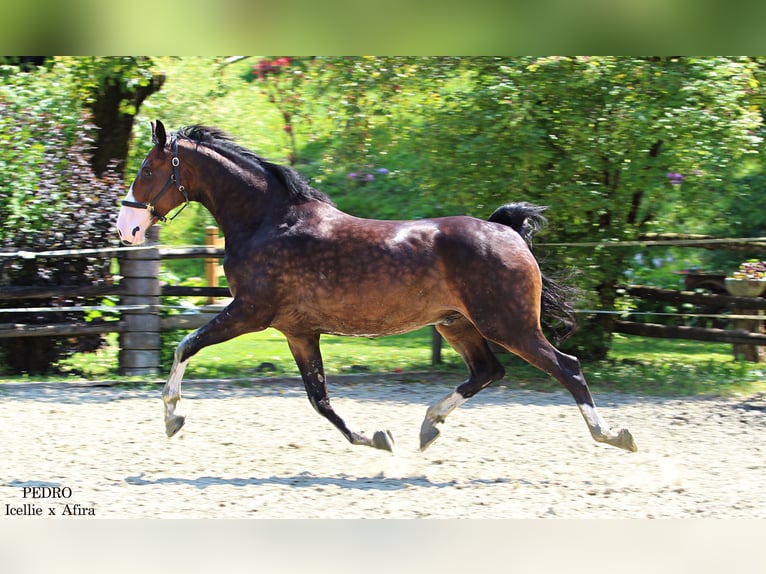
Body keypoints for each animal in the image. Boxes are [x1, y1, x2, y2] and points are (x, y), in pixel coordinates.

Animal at [117, 121, 640, 454]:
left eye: (147, 171)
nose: (127, 229)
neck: (269, 221)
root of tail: (508, 231)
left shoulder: (250, 312)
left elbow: (185, 345)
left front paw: (172, 417)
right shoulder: (297, 331)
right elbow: (320, 399)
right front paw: (376, 439)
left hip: (509, 326)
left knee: (567, 368)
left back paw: (614, 435)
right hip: (457, 324)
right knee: (487, 372)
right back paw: (428, 427)